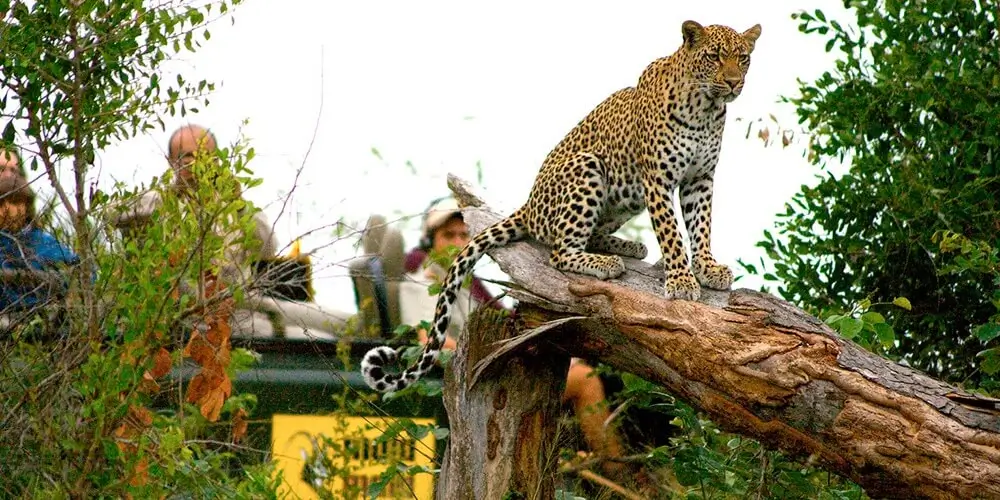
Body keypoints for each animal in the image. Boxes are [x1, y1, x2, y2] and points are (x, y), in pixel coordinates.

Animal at [362, 20, 762, 393]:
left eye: (743, 58)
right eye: (714, 56)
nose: (733, 83)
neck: (706, 108)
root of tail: (527, 205)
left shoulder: (701, 178)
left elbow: (701, 226)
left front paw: (707, 268)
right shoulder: (657, 179)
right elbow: (672, 233)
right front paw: (681, 280)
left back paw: (626, 247)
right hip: (588, 166)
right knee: (559, 251)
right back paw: (604, 264)